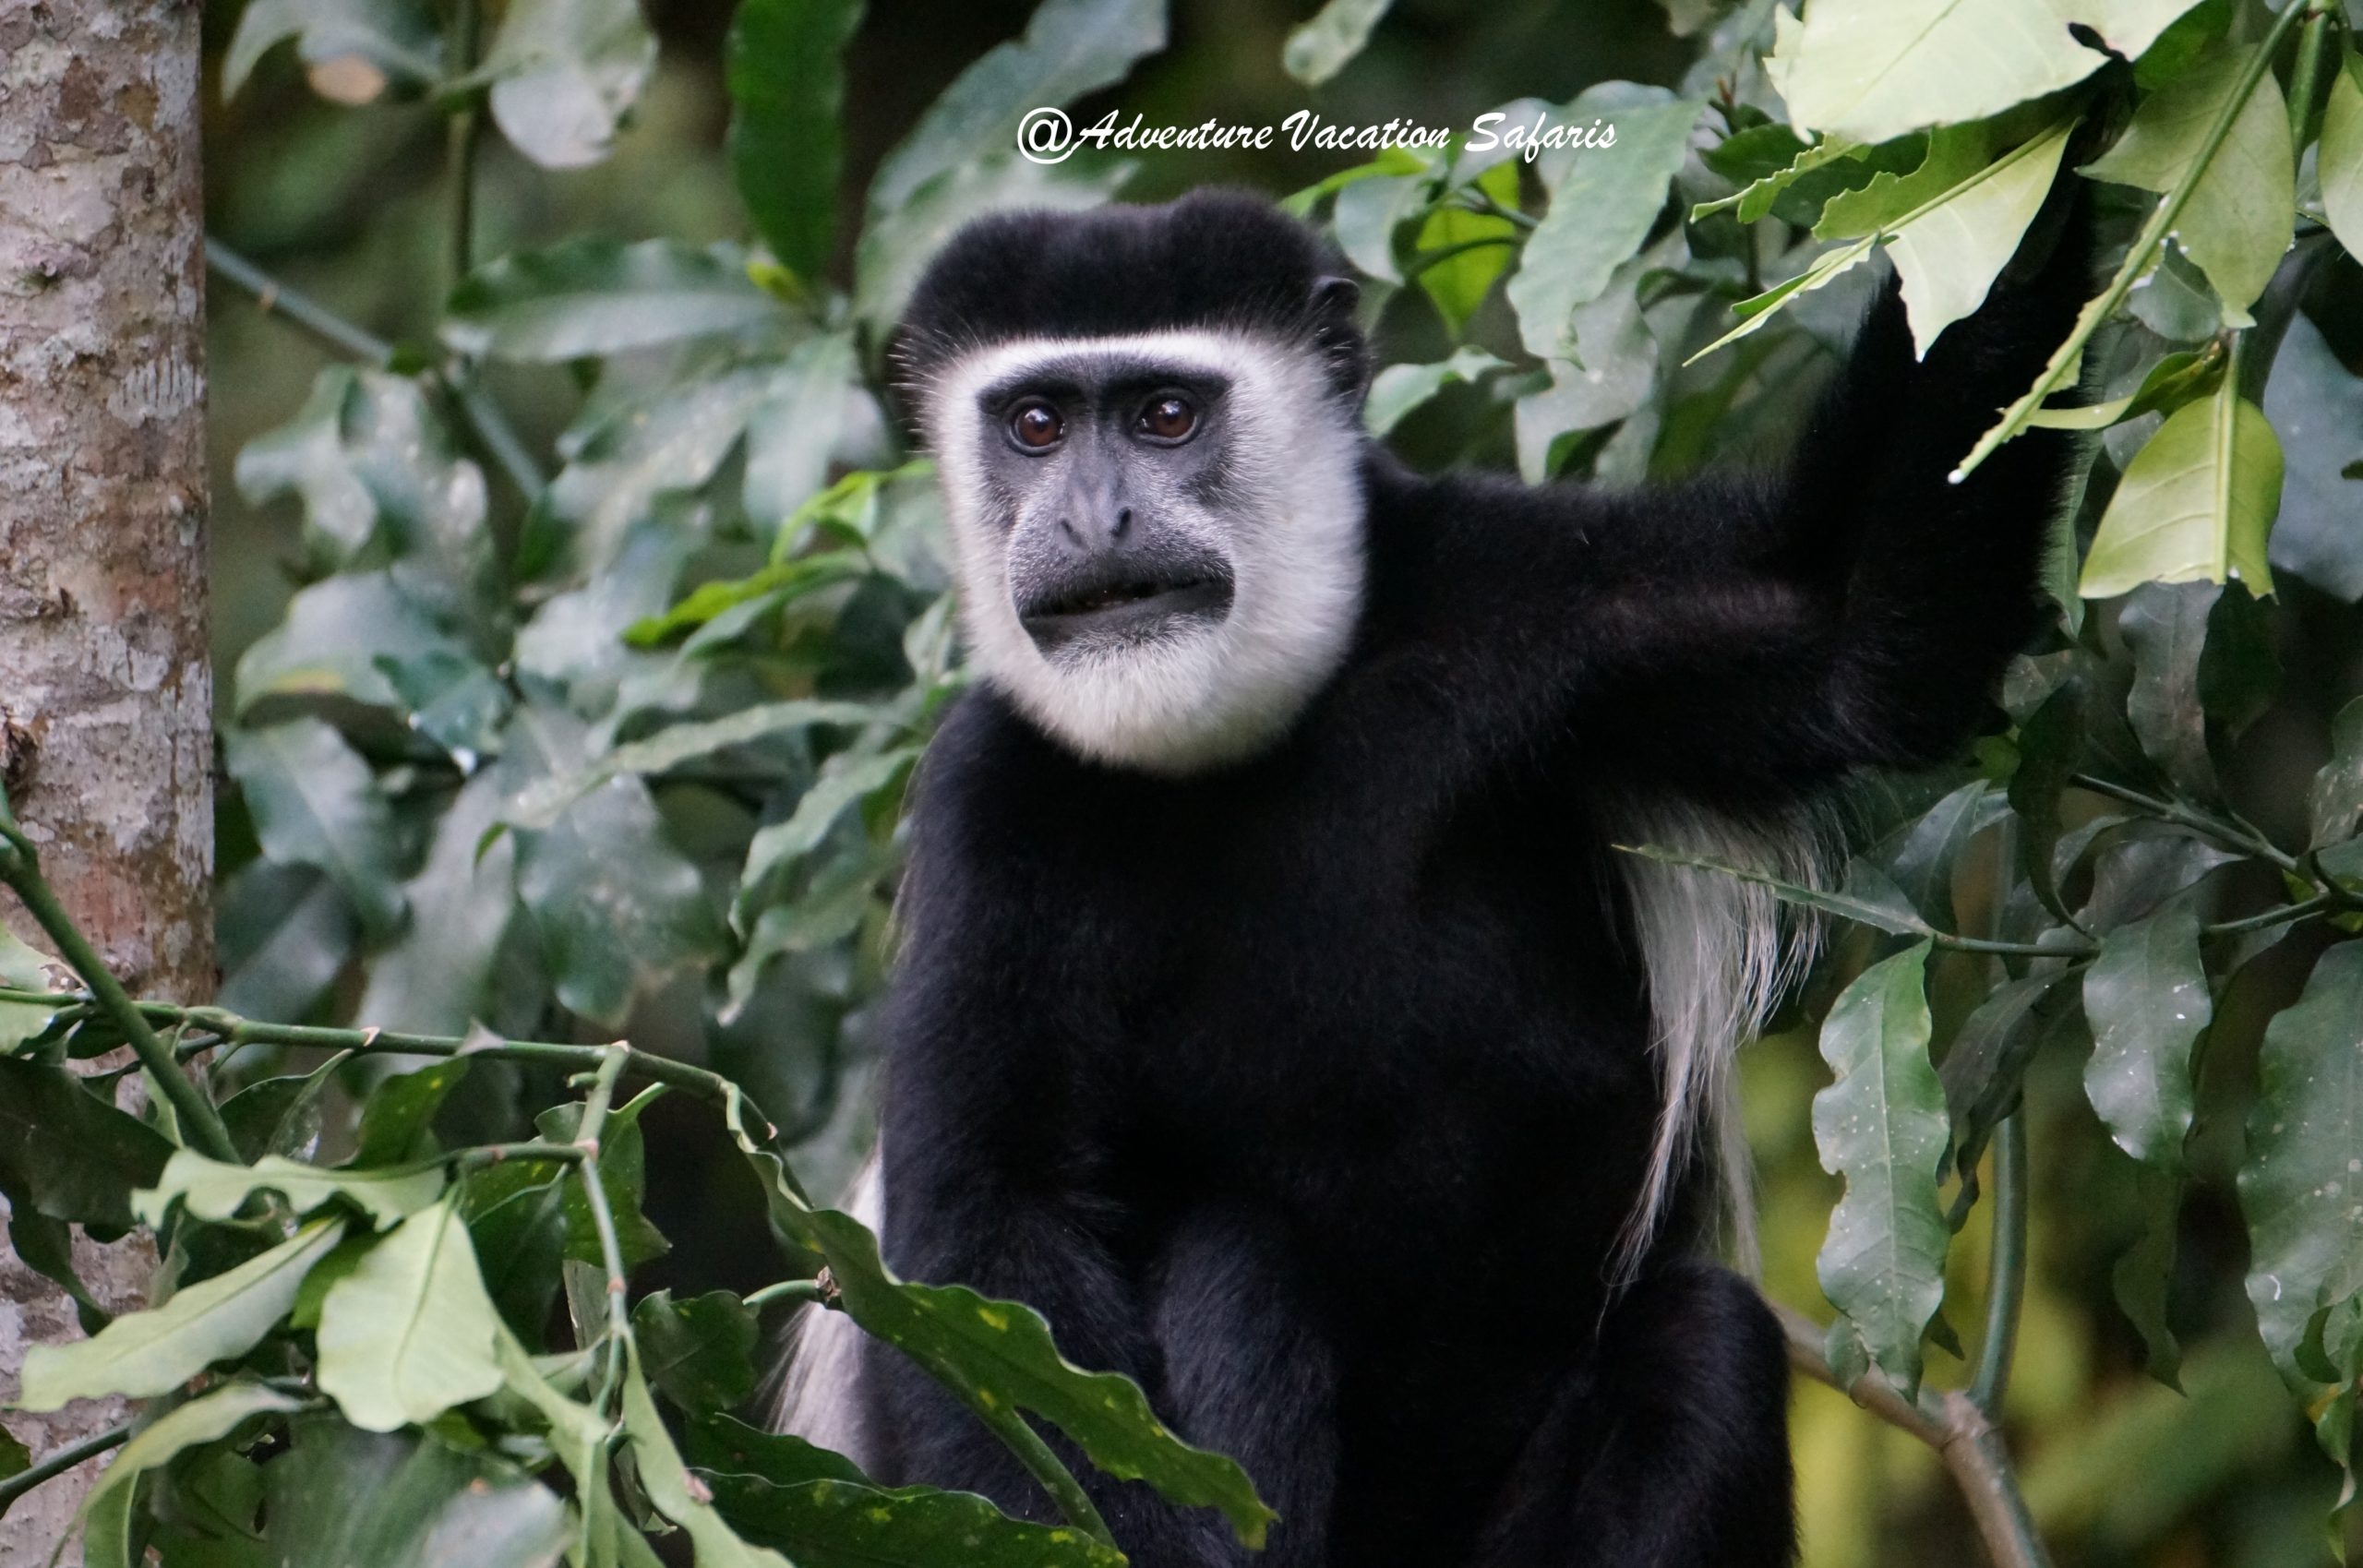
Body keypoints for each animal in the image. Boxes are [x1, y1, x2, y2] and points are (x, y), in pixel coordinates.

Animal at [774, 186, 2089, 1567]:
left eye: (1165, 414)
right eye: (1033, 425)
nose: (1092, 524)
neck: (1240, 742)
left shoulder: (1537, 591)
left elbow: (1844, 630)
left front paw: (2056, 149)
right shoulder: (993, 806)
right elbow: (990, 1226)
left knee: (1703, 1344)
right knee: (1242, 1255)